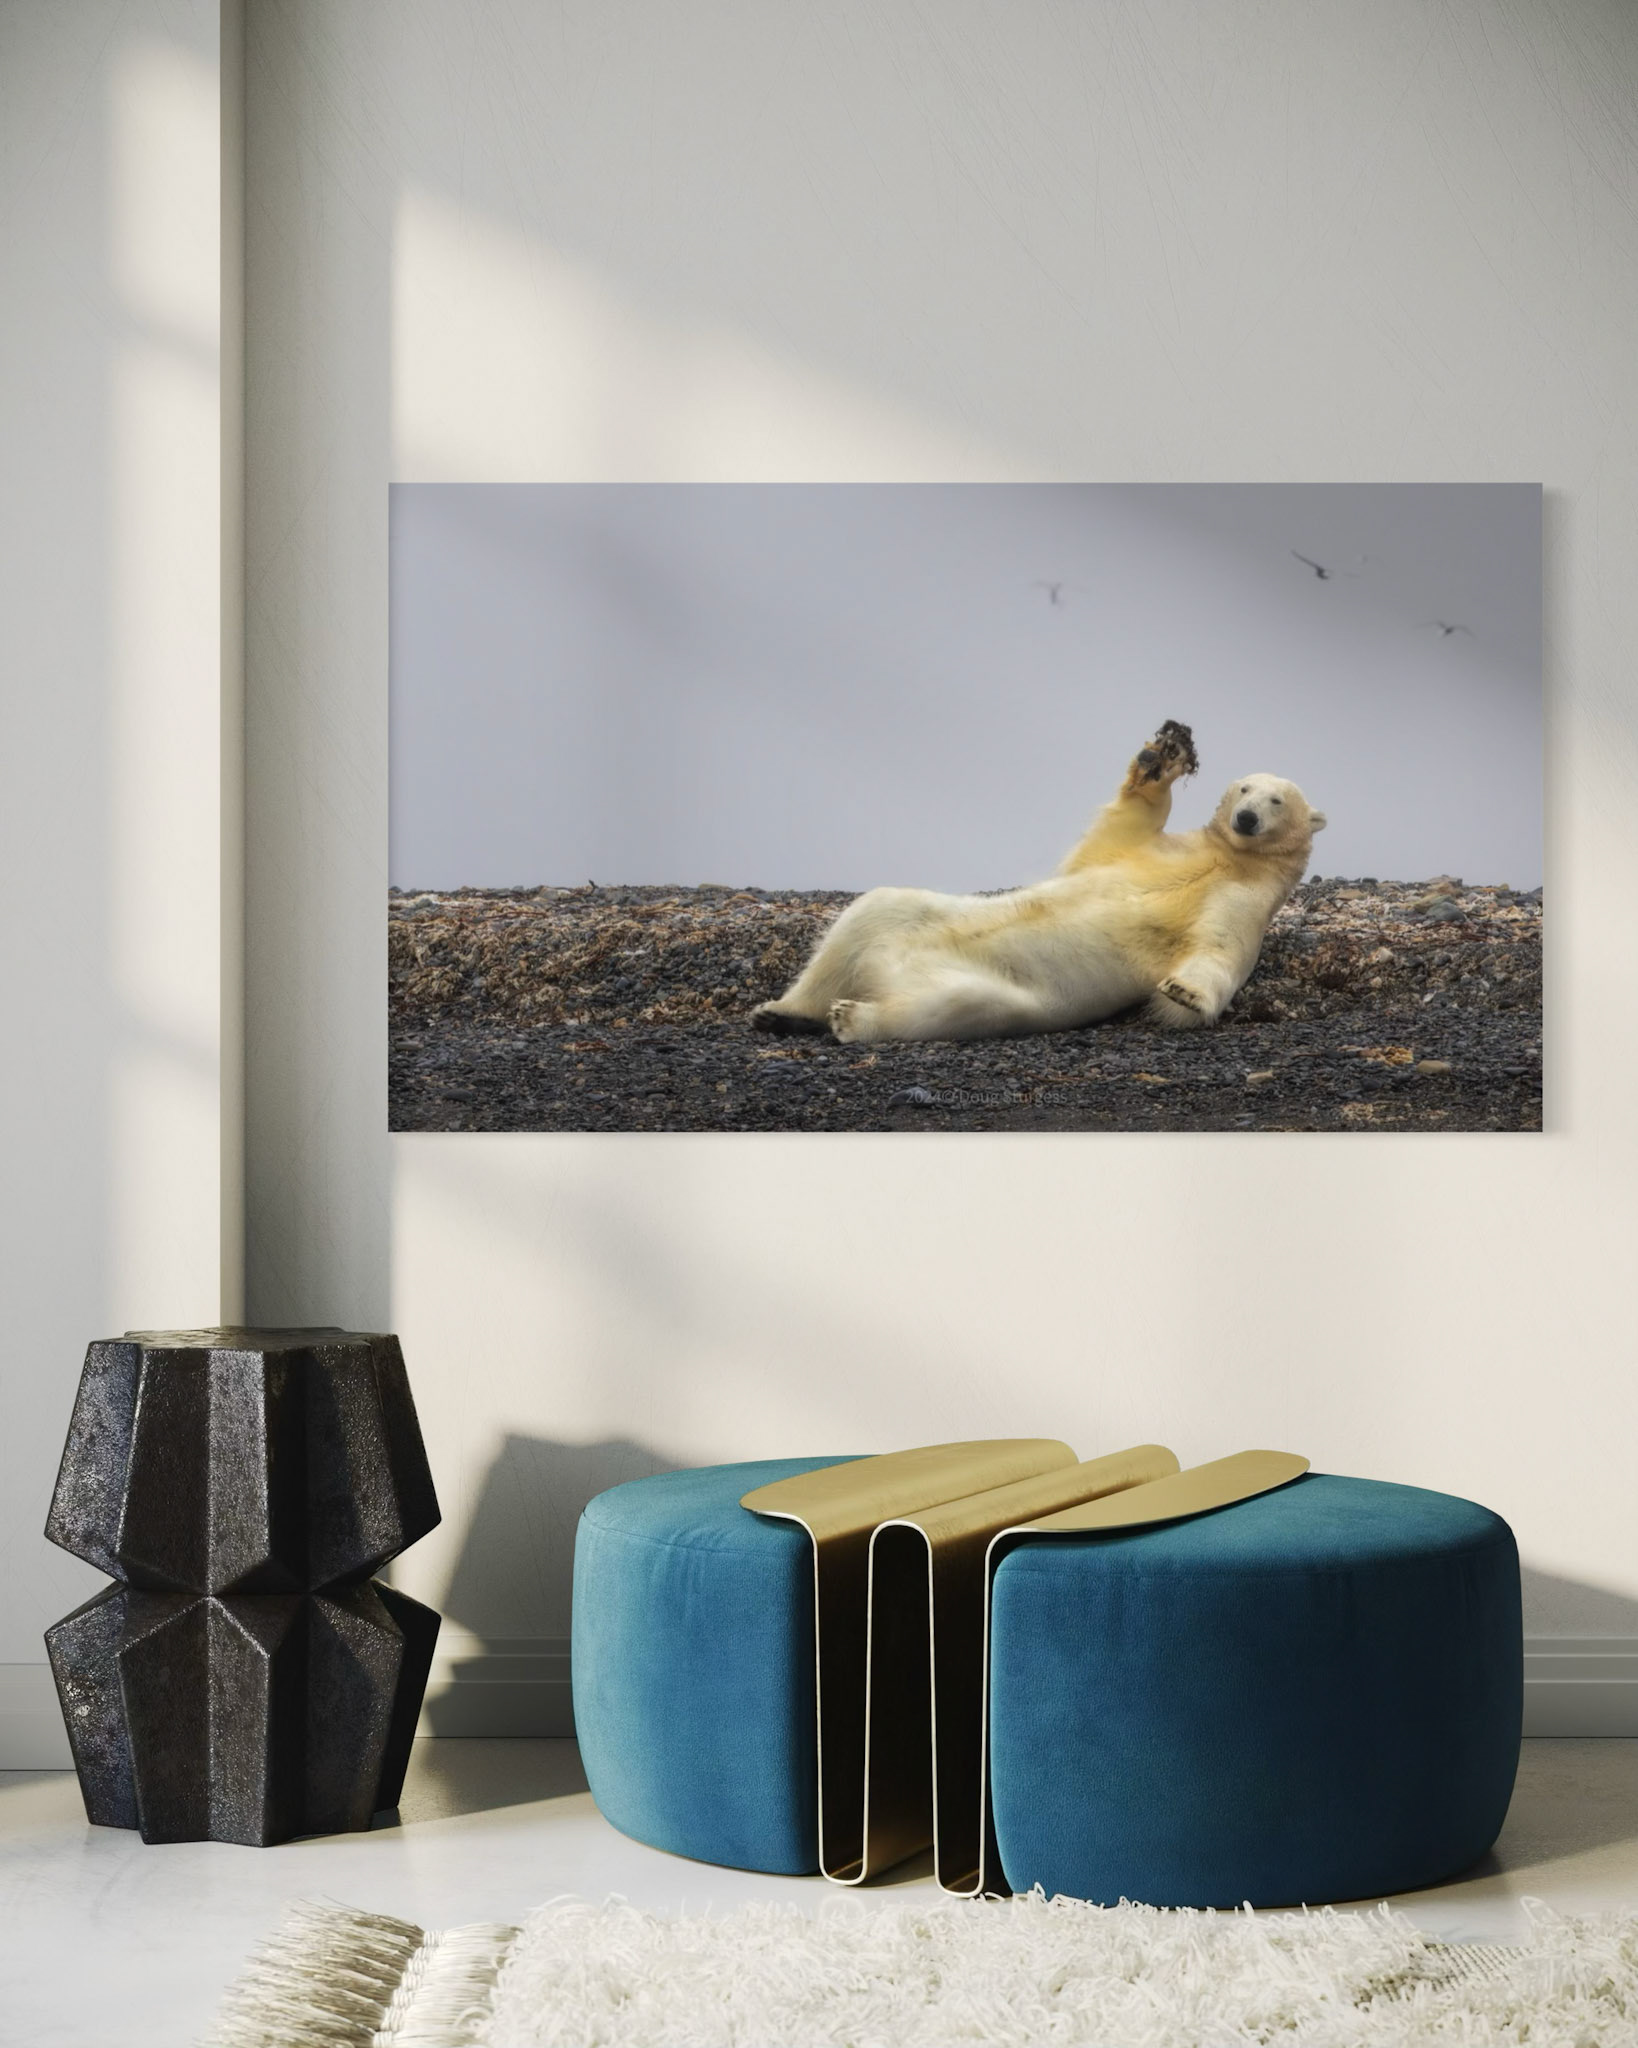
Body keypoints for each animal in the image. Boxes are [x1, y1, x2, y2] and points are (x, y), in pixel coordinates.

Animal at [750, 720, 1326, 1043]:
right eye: (1246, 789)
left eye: (1277, 800)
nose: (1246, 819)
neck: (1229, 859)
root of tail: (884, 972)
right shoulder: (1151, 851)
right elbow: (1124, 825)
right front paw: (1162, 756)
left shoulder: (1245, 902)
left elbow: (1219, 951)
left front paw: (1182, 991)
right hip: (913, 921)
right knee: (872, 913)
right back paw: (780, 1012)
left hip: (1003, 991)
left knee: (960, 1004)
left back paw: (850, 1019)